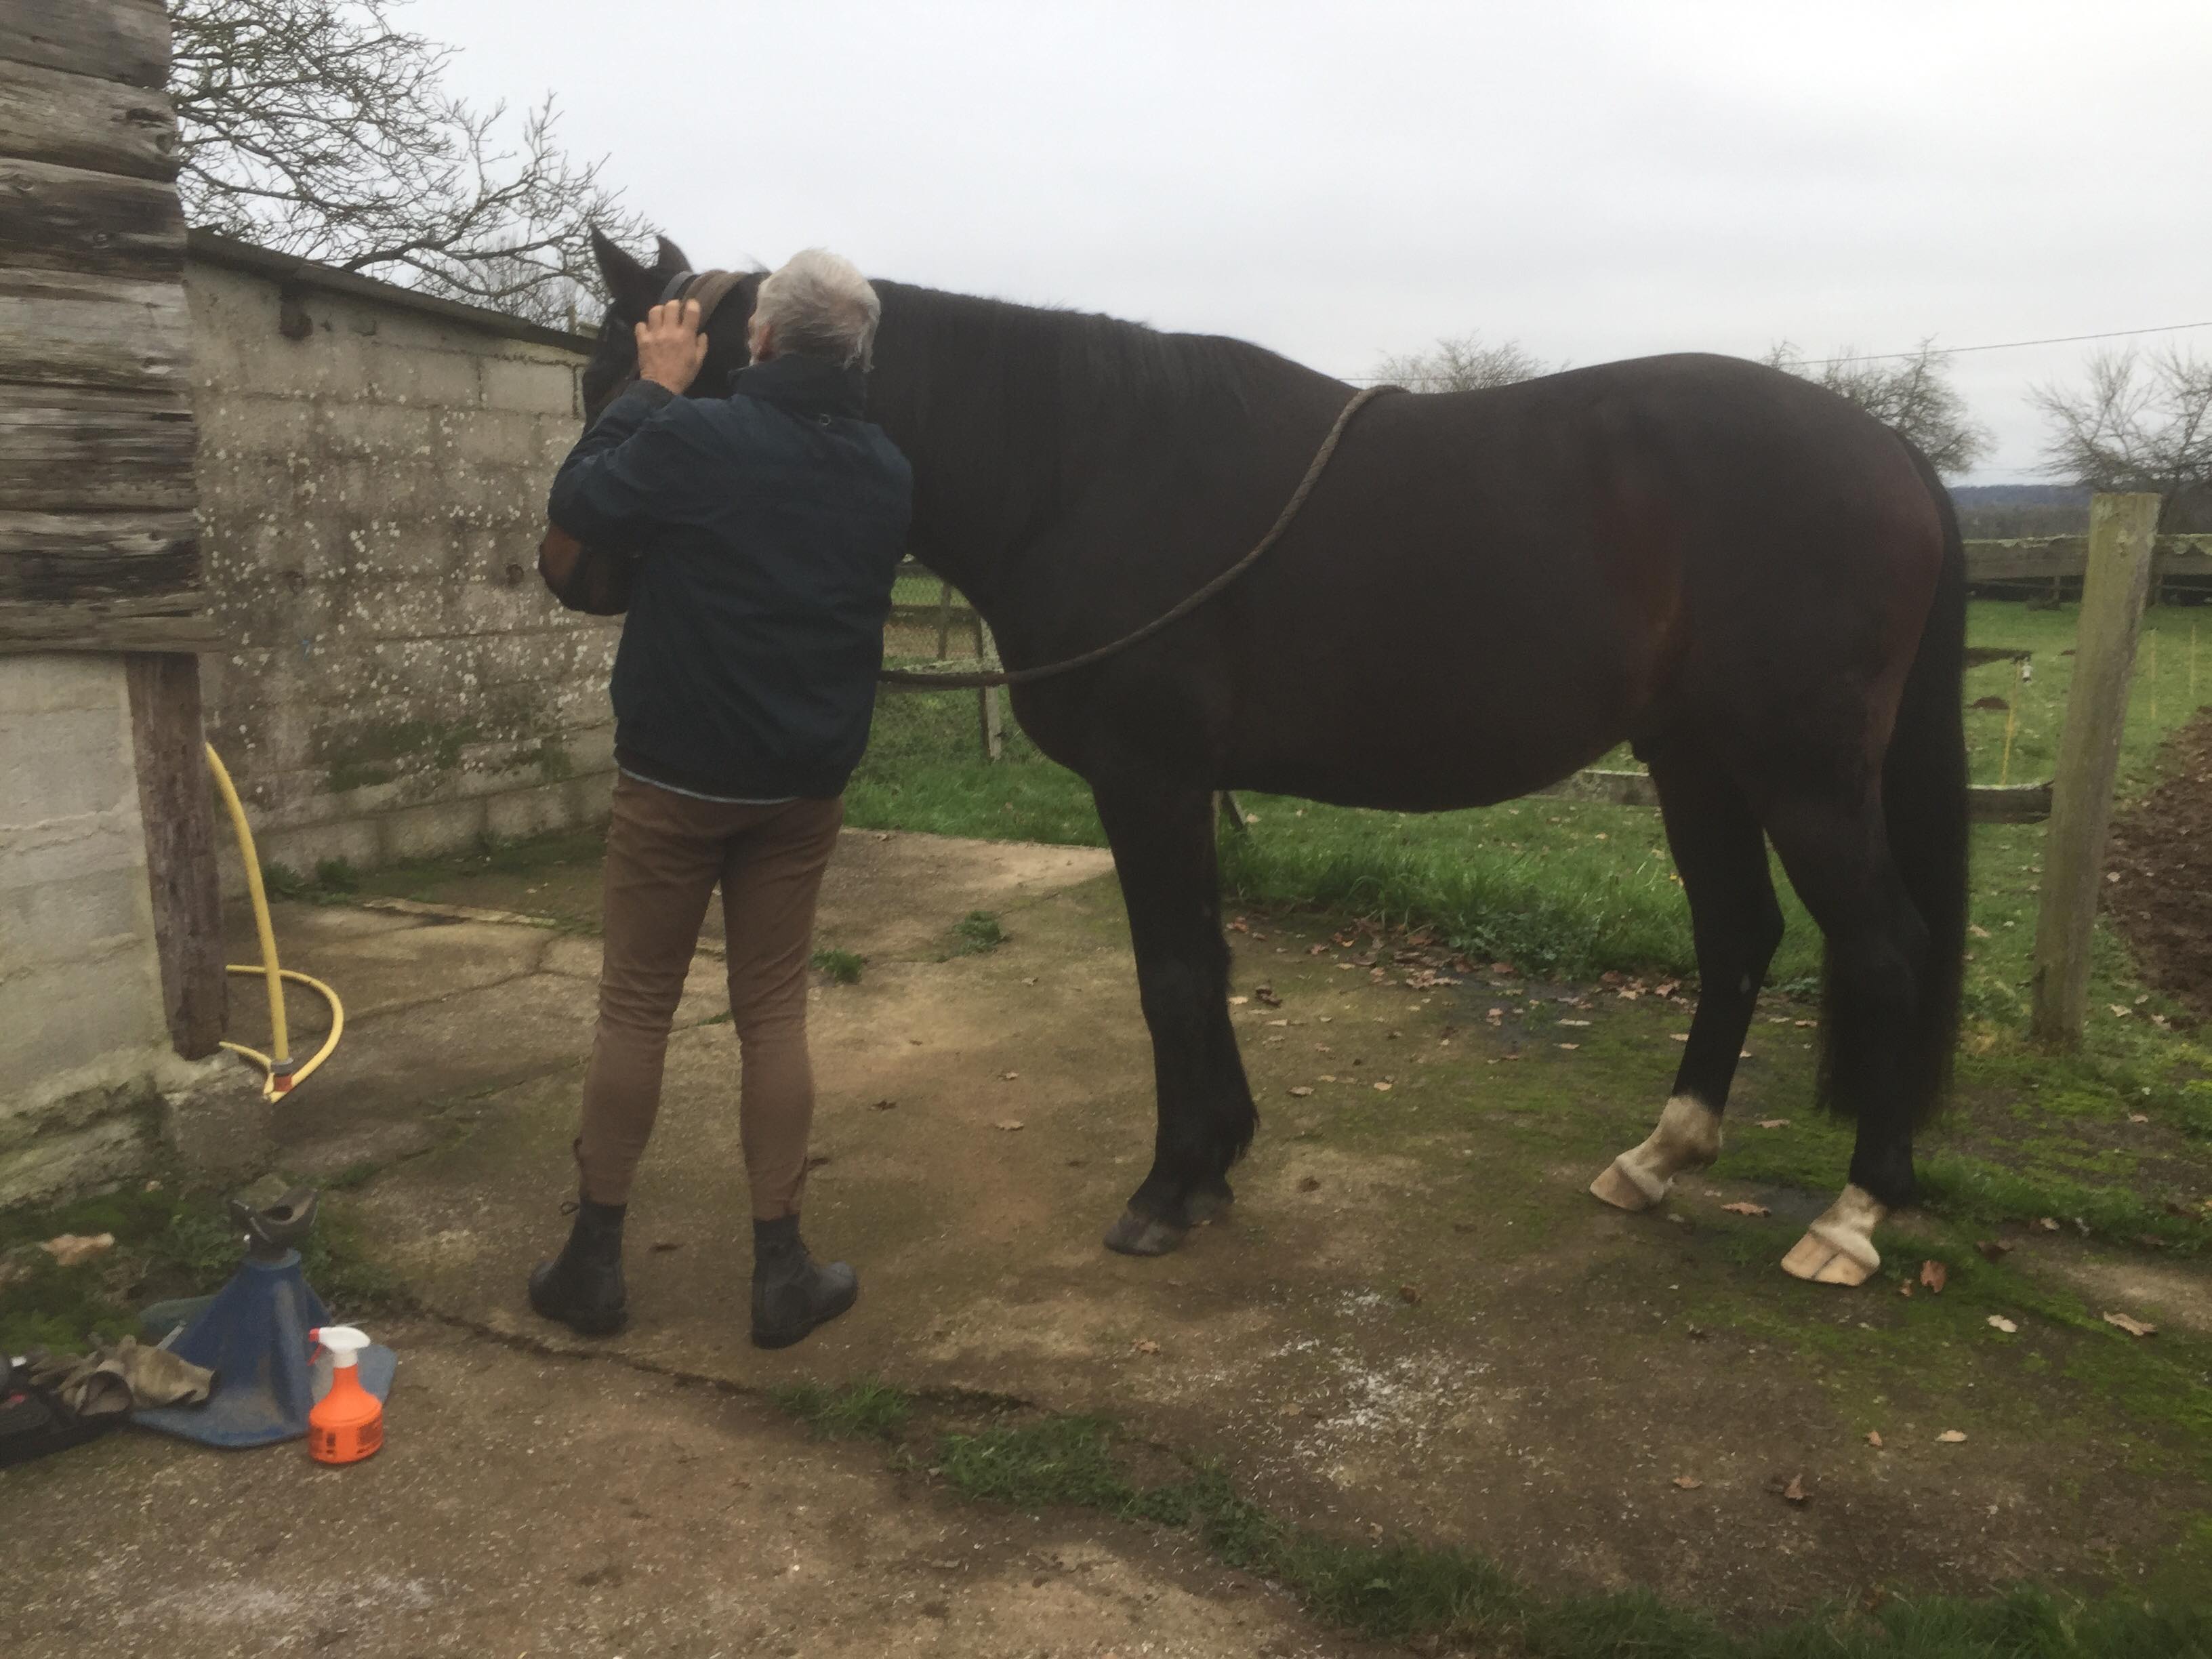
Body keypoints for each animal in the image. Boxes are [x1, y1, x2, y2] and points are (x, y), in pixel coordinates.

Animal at [579, 231, 1968, 1288]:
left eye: (637, 382)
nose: (569, 561)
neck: (1083, 467)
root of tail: (1889, 450)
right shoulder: (1180, 786)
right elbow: (1202, 963)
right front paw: (1215, 1163)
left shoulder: (1146, 778)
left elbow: (1173, 974)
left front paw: (1171, 1183)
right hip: (1695, 757)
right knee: (1738, 937)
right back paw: (1657, 1159)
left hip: (1801, 771)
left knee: (1885, 946)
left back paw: (1854, 1213)